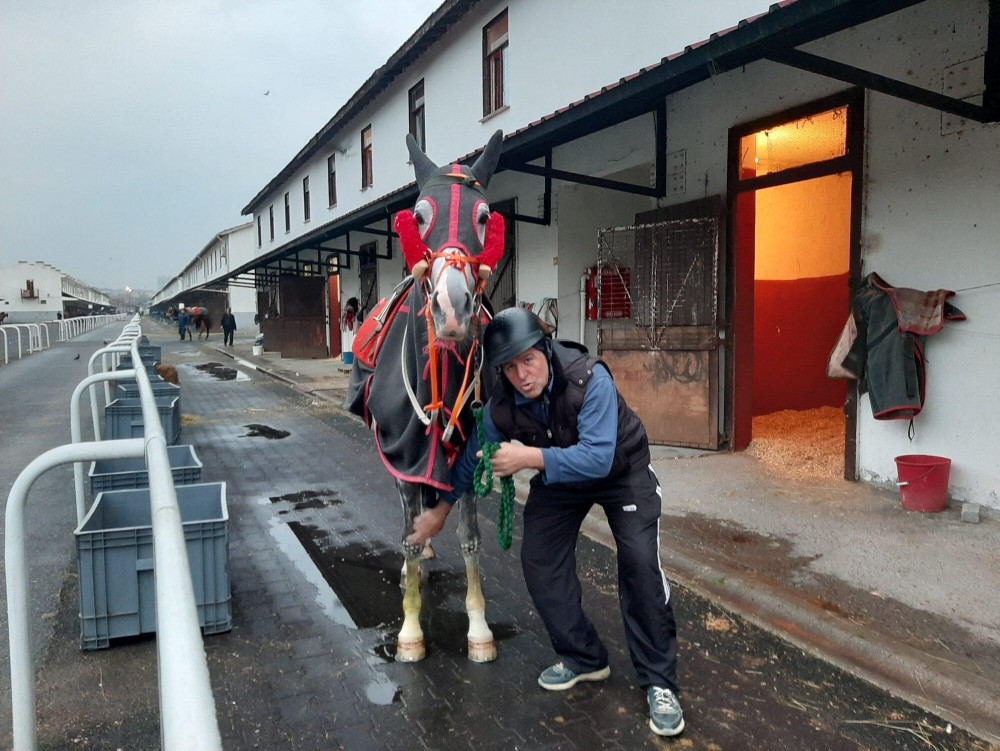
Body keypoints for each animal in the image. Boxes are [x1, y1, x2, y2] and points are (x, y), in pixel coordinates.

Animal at [352, 131, 508, 664]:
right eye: (419, 214)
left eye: (484, 214)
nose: (453, 309)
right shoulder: (404, 454)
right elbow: (407, 535)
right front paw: (410, 629)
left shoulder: (472, 453)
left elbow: (471, 539)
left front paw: (479, 626)